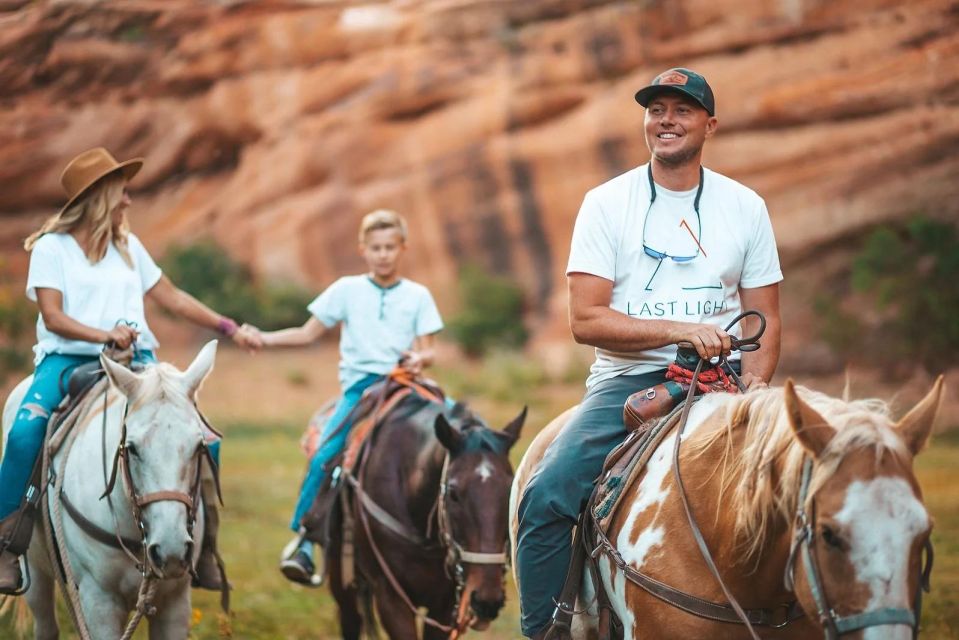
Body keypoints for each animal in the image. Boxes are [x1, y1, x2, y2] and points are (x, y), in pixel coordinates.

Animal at [1, 342, 221, 636]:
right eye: (132, 448)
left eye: (199, 446)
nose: (171, 549)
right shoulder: (99, 602)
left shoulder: (175, 602)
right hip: (35, 575)